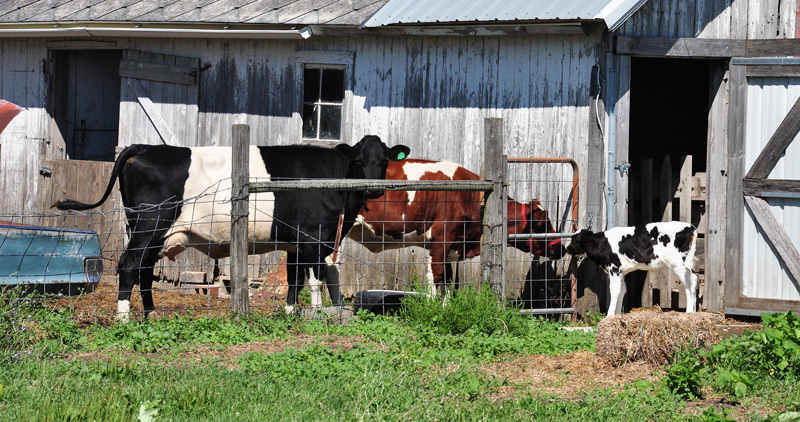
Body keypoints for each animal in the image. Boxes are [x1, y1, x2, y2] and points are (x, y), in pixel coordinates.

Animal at [54, 135, 410, 320]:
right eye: (360, 161)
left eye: (385, 161)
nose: (375, 188)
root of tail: (145, 146)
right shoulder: (313, 237)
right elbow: (314, 279)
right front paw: (317, 314)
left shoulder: (295, 242)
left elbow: (294, 279)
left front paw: (290, 313)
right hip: (149, 225)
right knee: (129, 265)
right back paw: (124, 318)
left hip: (152, 232)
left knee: (143, 269)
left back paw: (152, 314)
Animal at [319, 159, 566, 301]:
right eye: (543, 223)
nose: (561, 249)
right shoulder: (441, 239)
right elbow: (435, 276)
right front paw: (430, 309)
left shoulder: (452, 245)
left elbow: (447, 280)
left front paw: (445, 308)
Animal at [565, 221, 698, 317]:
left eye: (575, 240)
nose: (566, 248)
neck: (604, 243)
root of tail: (689, 227)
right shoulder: (622, 272)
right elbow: (622, 290)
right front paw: (617, 315)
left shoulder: (614, 268)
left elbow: (614, 290)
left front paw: (609, 315)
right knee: (695, 279)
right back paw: (694, 312)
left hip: (676, 262)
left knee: (690, 281)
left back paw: (688, 311)